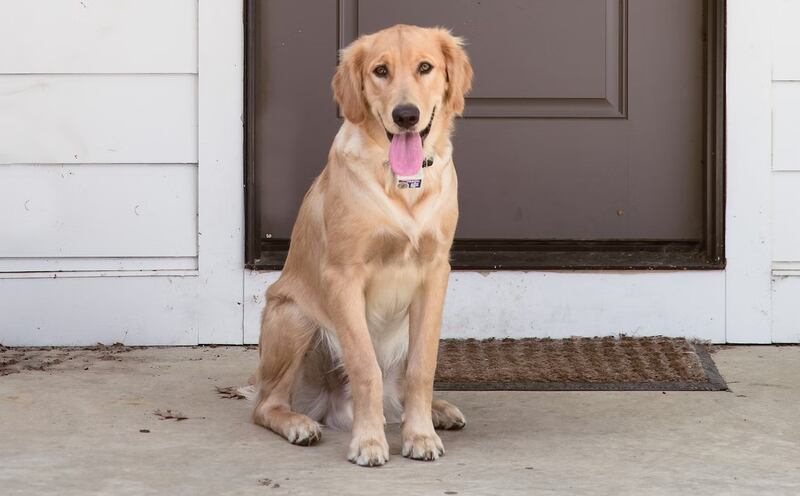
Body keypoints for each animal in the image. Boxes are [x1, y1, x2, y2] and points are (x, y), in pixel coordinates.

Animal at [252, 25, 468, 466]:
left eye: (425, 67)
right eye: (380, 70)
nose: (406, 115)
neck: (402, 183)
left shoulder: (435, 271)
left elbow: (423, 366)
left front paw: (420, 435)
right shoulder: (344, 275)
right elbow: (365, 366)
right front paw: (368, 442)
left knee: (400, 388)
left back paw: (437, 411)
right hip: (293, 316)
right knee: (267, 403)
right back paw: (299, 423)